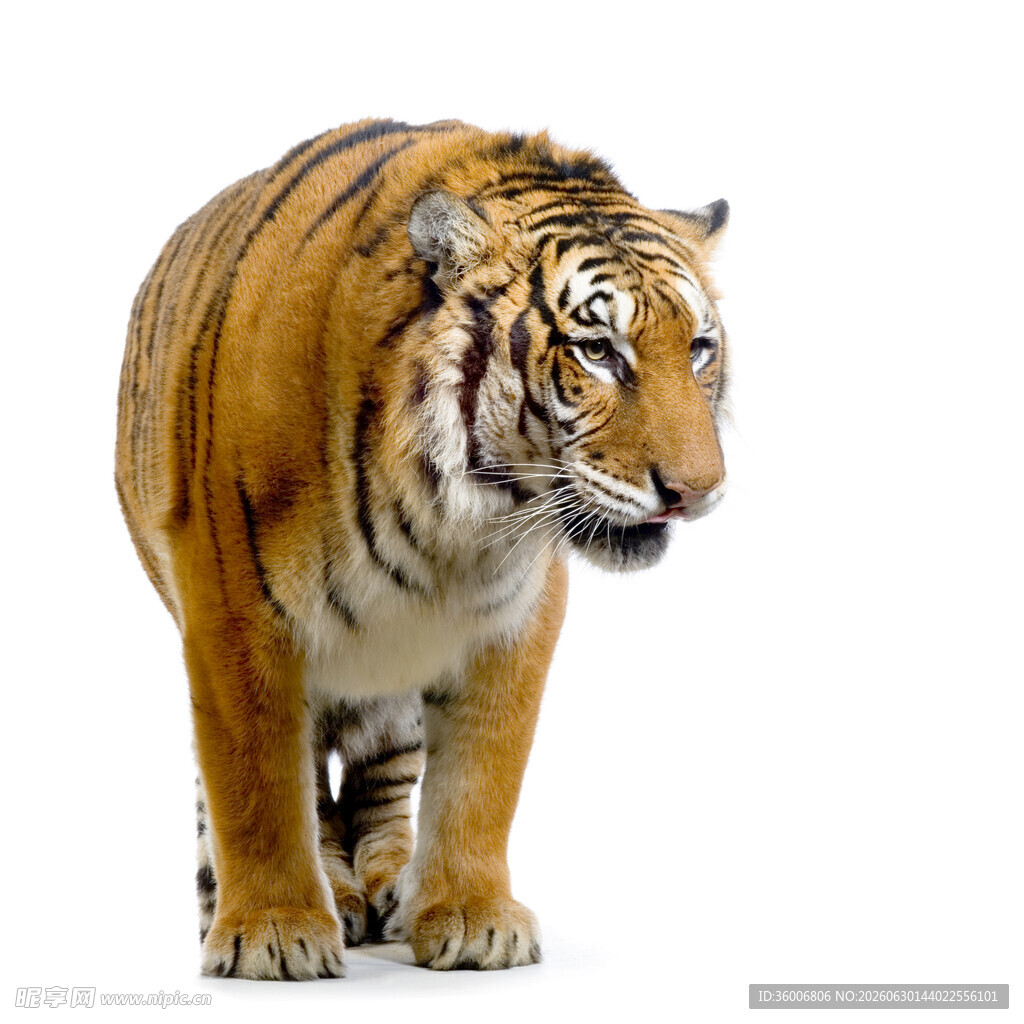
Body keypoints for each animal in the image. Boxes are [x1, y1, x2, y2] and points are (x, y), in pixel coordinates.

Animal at [115, 117, 729, 980]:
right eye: (599, 351)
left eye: (699, 349)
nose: (698, 490)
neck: (453, 516)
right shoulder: (232, 609)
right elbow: (256, 778)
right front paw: (273, 932)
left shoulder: (516, 613)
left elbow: (483, 772)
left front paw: (472, 918)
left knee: (379, 776)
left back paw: (382, 889)